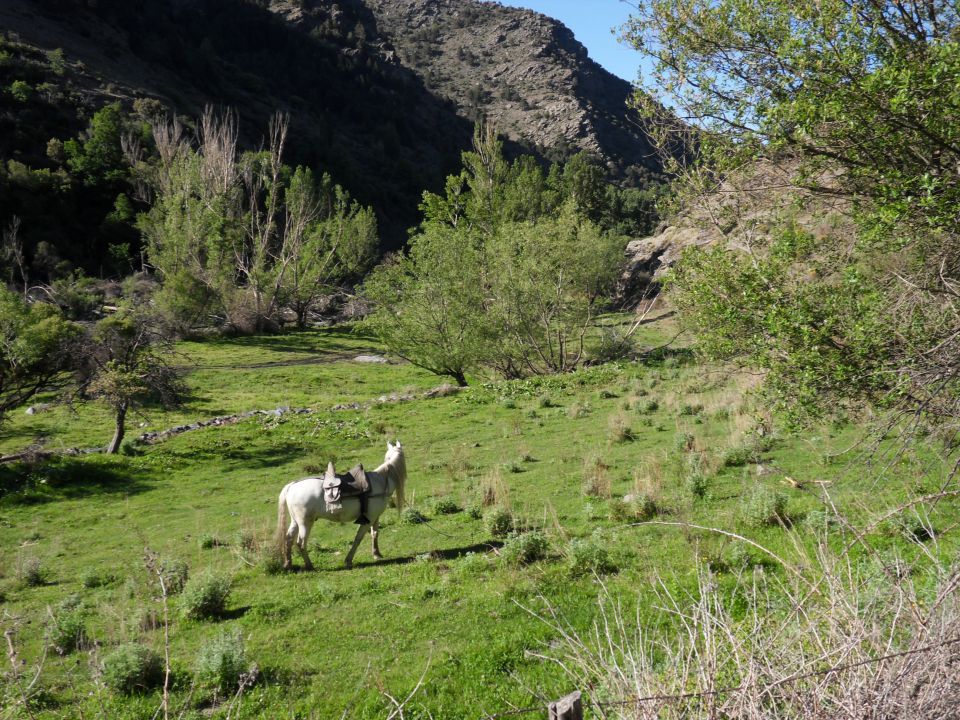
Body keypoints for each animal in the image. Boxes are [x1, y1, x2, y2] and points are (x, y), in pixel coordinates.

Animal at [274, 442, 404, 572]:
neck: (381, 482)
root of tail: (291, 486)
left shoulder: (374, 517)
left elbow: (375, 534)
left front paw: (376, 554)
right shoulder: (369, 519)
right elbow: (358, 539)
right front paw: (349, 560)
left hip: (295, 521)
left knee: (288, 539)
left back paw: (288, 565)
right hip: (305, 523)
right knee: (300, 543)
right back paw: (309, 566)